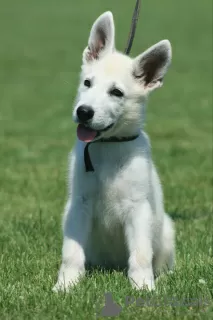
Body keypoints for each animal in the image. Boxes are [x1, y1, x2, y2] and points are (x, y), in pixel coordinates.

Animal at [53, 11, 175, 292]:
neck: (108, 145)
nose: (84, 112)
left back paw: (164, 276)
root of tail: (113, 265)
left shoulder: (138, 209)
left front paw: (142, 286)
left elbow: (141, 253)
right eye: (87, 83)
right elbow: (71, 251)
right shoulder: (78, 205)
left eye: (116, 92)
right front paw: (66, 285)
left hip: (167, 231)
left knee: (161, 261)